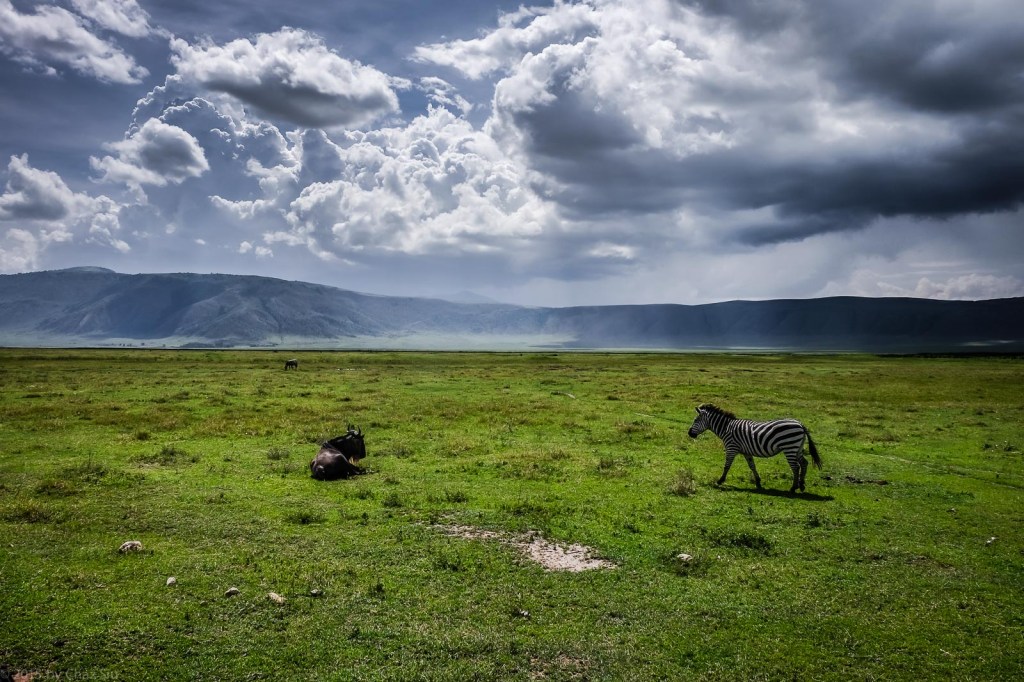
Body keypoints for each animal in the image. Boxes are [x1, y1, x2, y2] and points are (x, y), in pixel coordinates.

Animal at [687, 403, 821, 493]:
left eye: (696, 420)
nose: (689, 433)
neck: (726, 428)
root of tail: (800, 424)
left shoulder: (731, 448)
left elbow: (727, 465)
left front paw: (720, 480)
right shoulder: (746, 452)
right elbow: (752, 466)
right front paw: (758, 481)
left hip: (790, 448)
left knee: (796, 467)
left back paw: (793, 488)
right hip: (797, 448)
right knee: (804, 463)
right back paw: (802, 485)